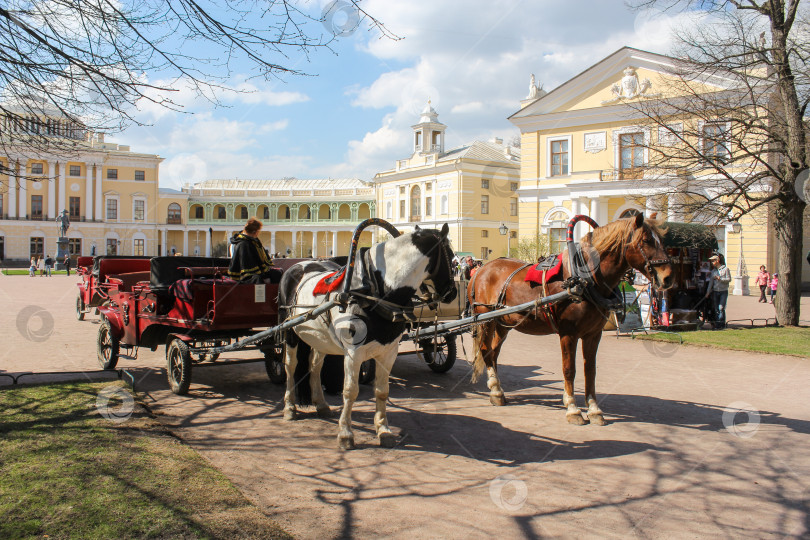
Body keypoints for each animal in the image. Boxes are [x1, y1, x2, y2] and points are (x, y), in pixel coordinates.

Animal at [278, 226, 454, 450]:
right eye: (452, 257)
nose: (453, 292)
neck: (376, 291)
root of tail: (296, 265)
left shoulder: (389, 351)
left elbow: (382, 391)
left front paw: (383, 430)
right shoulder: (354, 353)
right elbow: (350, 391)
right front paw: (346, 433)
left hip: (320, 338)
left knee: (315, 366)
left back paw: (321, 403)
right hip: (289, 332)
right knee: (291, 366)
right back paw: (289, 407)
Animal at [464, 215, 672, 426]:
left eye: (662, 241)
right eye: (646, 240)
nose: (668, 277)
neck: (583, 280)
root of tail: (482, 270)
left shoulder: (593, 334)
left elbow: (590, 370)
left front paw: (594, 409)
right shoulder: (568, 334)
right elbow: (569, 369)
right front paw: (573, 408)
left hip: (503, 323)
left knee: (493, 352)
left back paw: (497, 389)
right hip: (485, 320)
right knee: (486, 350)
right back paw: (495, 390)